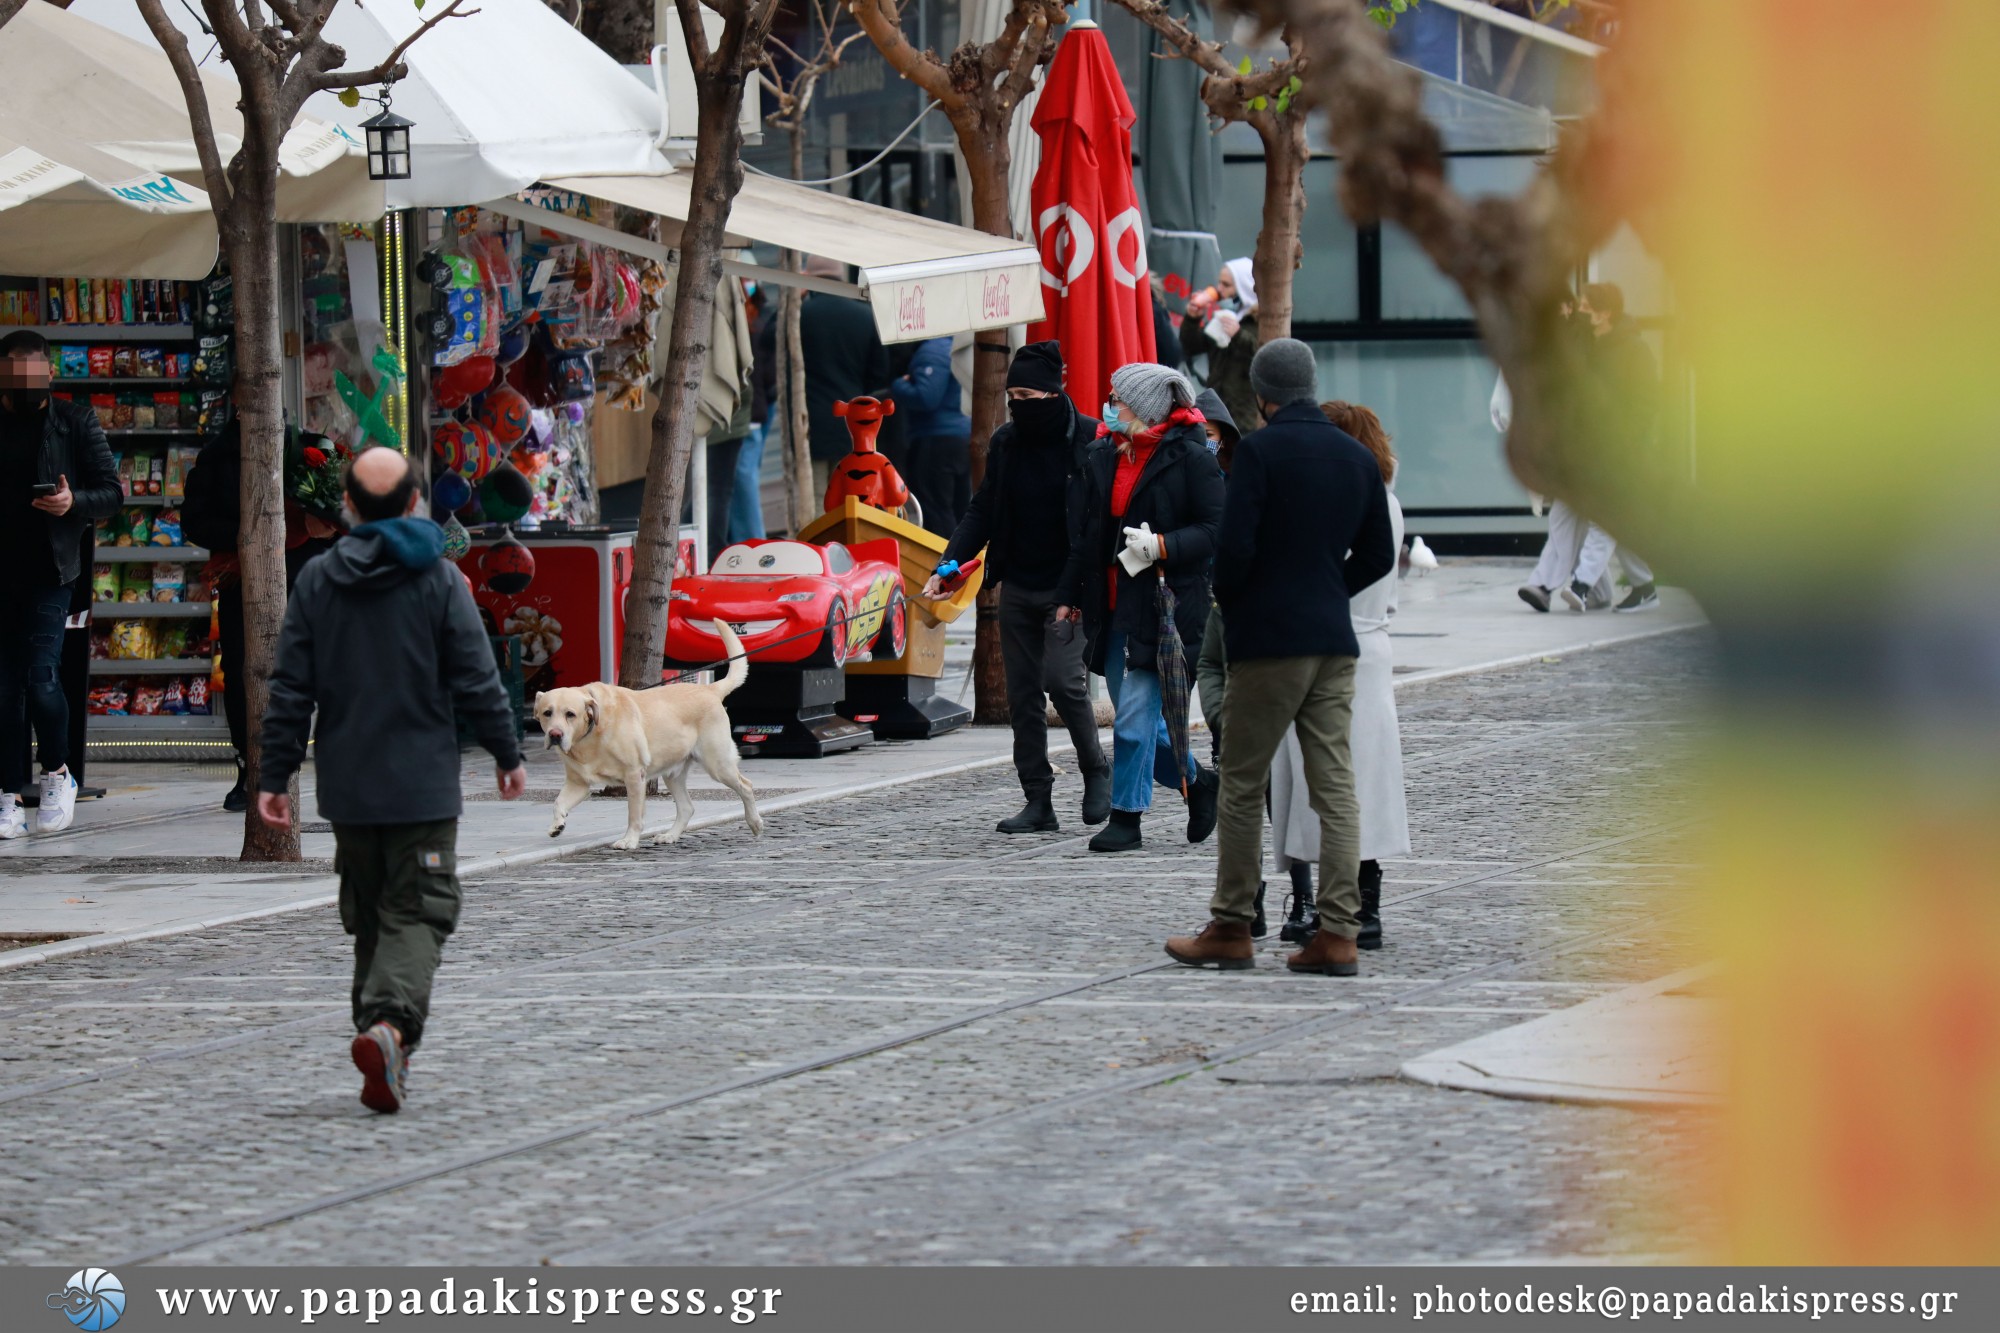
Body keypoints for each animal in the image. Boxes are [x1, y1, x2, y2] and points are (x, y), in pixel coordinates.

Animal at [536, 624, 760, 852]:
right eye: (547, 713)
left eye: (570, 714)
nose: (555, 734)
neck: (591, 734)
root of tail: (709, 689)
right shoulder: (578, 783)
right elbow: (558, 802)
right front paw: (557, 825)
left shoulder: (634, 775)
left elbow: (634, 815)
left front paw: (629, 840)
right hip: (673, 773)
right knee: (687, 807)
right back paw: (670, 835)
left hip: (718, 765)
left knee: (746, 786)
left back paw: (755, 822)